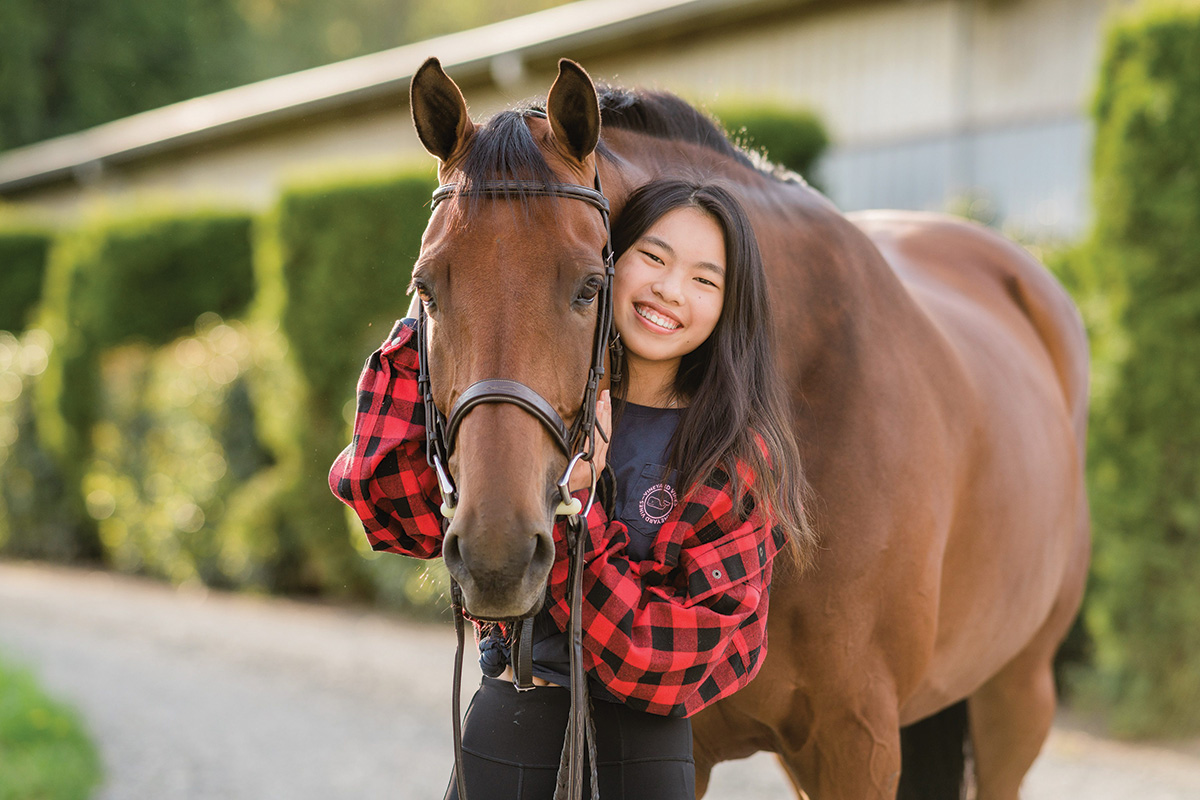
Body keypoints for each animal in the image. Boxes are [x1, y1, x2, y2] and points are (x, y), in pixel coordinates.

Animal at [408, 57, 1094, 800]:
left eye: (589, 286)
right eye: (427, 288)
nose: (495, 554)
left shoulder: (858, 742)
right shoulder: (693, 743)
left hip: (1015, 694)